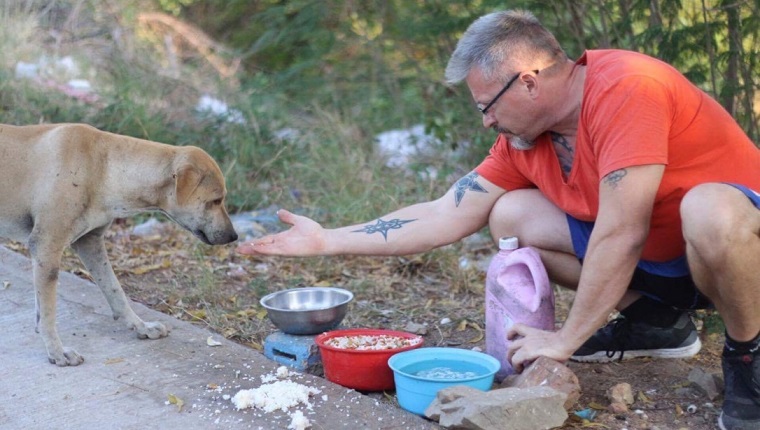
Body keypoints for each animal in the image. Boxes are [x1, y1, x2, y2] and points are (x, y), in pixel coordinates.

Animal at [0, 123, 238, 366]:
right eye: (215, 200)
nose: (233, 236)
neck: (104, 169)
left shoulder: (90, 243)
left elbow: (115, 291)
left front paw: (141, 326)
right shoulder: (46, 247)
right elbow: (48, 312)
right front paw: (57, 351)